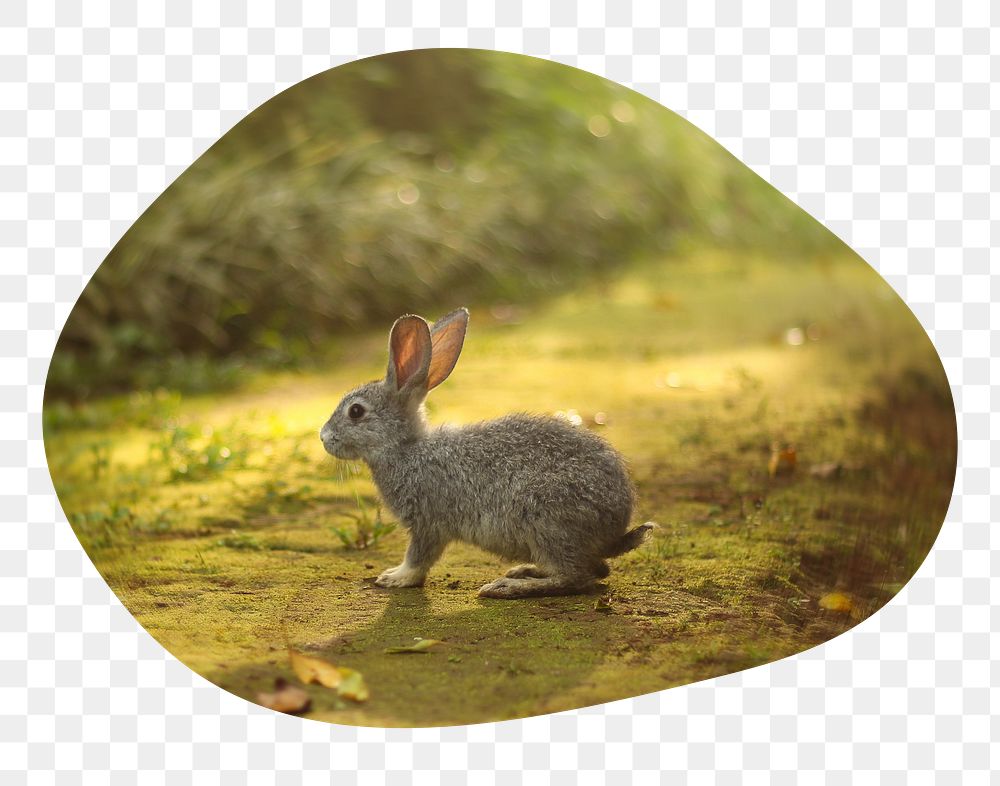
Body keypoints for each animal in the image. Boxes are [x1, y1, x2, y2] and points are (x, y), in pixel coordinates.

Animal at [319, 307, 654, 598]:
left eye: (356, 412)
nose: (323, 437)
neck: (405, 448)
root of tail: (615, 528)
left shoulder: (428, 521)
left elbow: (419, 557)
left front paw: (396, 578)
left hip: (547, 520)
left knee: (578, 577)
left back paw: (508, 587)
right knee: (596, 570)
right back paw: (524, 571)